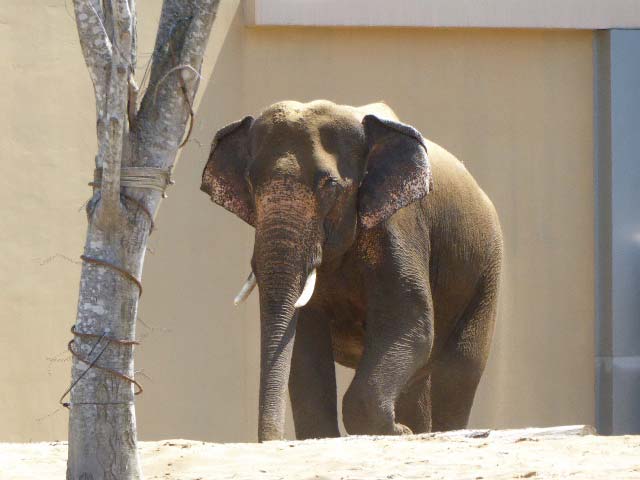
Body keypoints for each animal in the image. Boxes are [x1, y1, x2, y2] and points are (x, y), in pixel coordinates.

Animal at [202, 100, 502, 442]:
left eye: (330, 185)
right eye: (251, 183)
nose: (273, 439)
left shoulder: (401, 226)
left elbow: (410, 324)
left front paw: (398, 432)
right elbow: (304, 342)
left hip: (485, 271)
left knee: (459, 369)